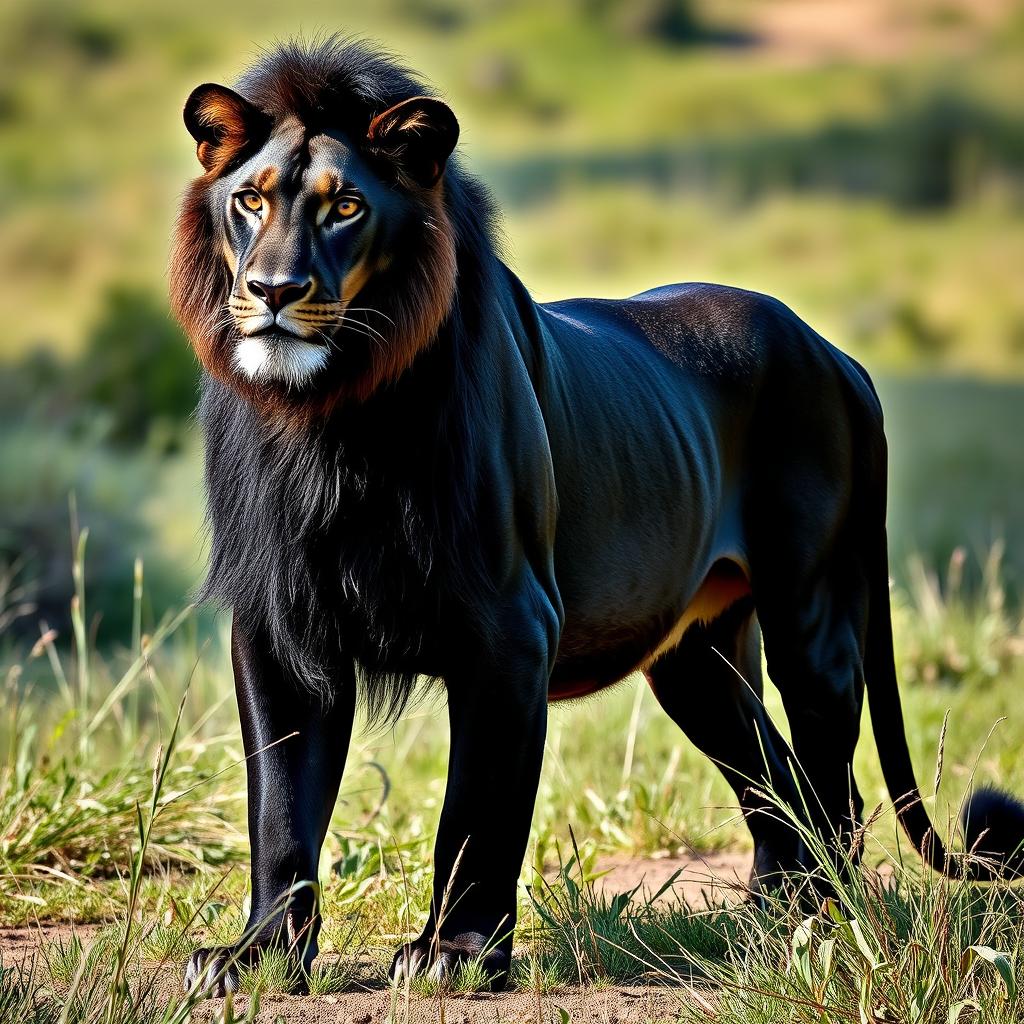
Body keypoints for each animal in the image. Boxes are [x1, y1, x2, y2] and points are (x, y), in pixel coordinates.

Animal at [170, 36, 1024, 996]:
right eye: (251, 198)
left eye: (346, 205)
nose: (273, 289)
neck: (330, 415)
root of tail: (839, 354)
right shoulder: (279, 628)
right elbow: (281, 808)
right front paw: (255, 957)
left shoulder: (510, 627)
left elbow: (476, 811)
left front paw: (455, 955)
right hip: (698, 660)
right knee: (777, 779)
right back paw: (773, 922)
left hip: (816, 620)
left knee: (832, 789)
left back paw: (824, 930)